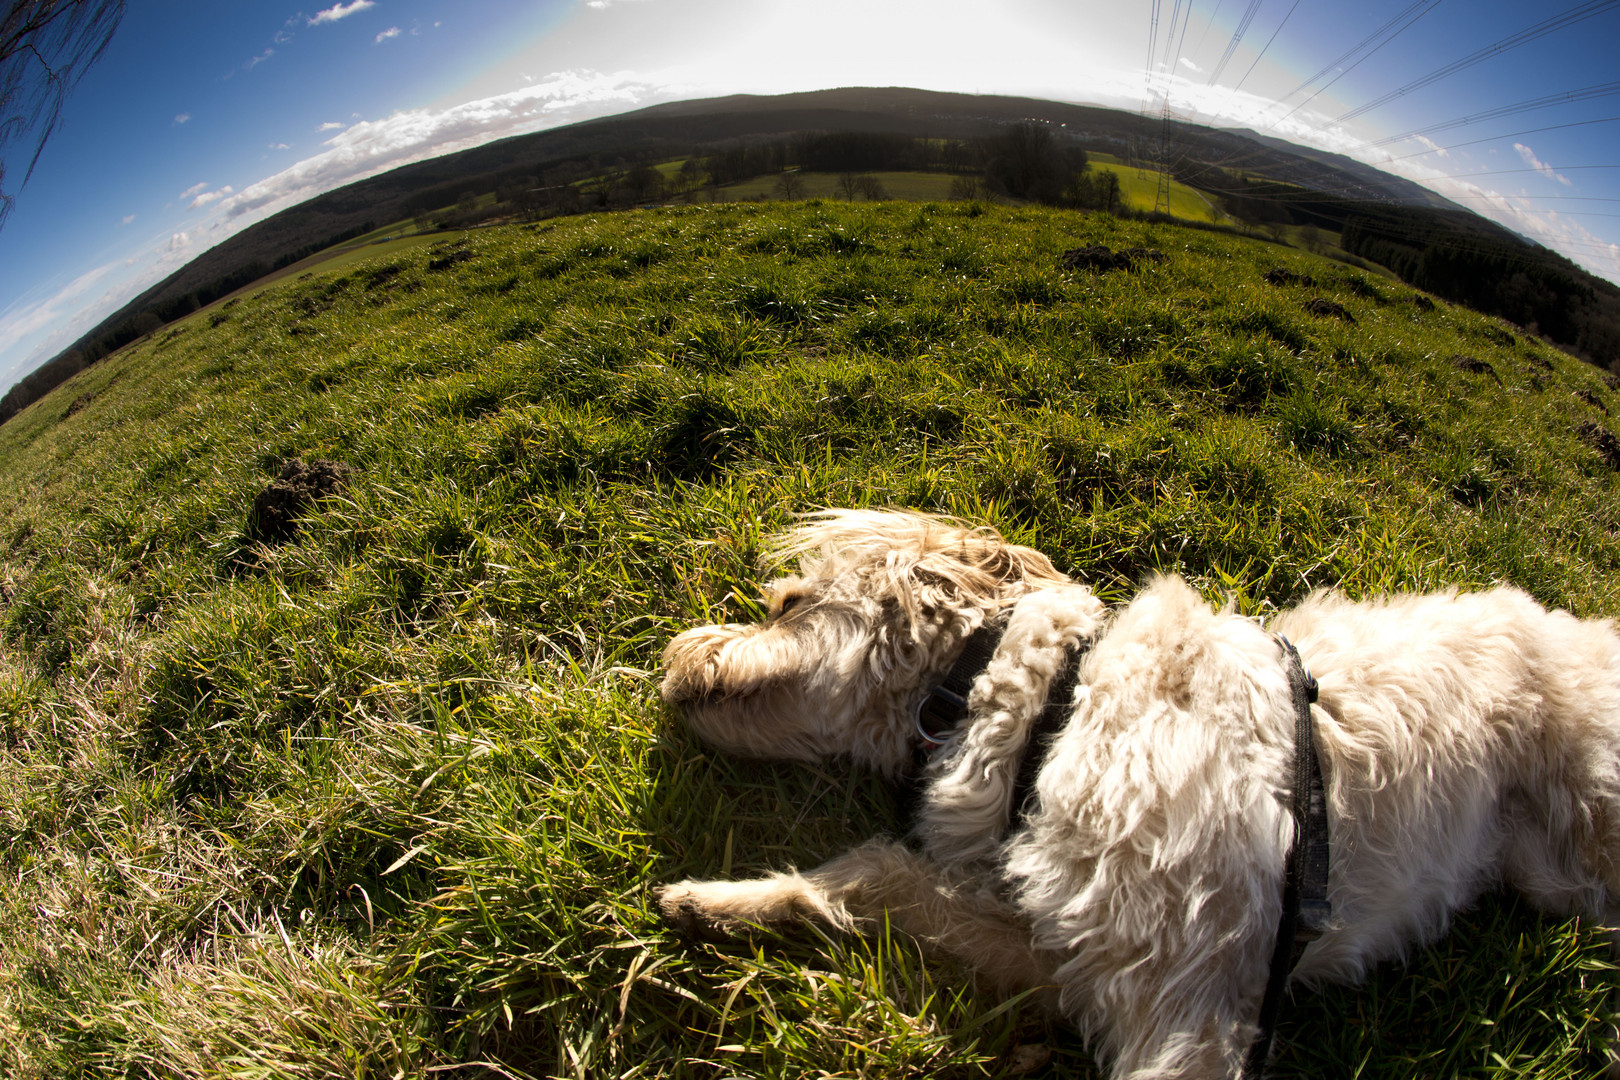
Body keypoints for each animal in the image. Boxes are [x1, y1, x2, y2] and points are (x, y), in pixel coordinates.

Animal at [657, 511, 1620, 1075]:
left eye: (786, 605)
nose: (670, 655)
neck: (1050, 704)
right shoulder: (1072, 951)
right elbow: (879, 874)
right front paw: (725, 902)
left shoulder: (1186, 1007)